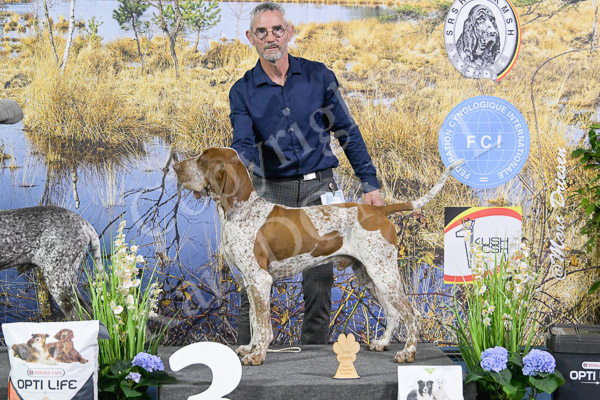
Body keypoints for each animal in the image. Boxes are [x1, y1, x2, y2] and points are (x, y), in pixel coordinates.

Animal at [173, 147, 462, 365]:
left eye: (202, 159)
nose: (176, 167)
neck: (242, 210)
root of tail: (379, 211)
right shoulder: (249, 282)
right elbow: (255, 321)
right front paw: (250, 347)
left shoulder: (260, 280)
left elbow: (264, 326)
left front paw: (258, 356)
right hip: (369, 274)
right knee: (393, 312)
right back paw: (382, 343)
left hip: (383, 274)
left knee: (412, 313)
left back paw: (408, 353)